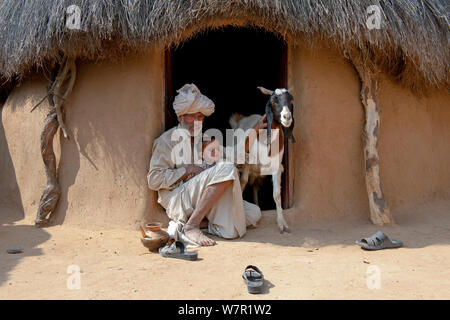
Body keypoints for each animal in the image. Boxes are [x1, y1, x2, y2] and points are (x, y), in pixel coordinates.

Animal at [229, 87, 296, 232]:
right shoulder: (248, 163)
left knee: (255, 187)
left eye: (291, 101)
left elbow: (277, 195)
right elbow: (243, 182)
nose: (287, 117)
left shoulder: (277, 167)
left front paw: (282, 223)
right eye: (273, 101)